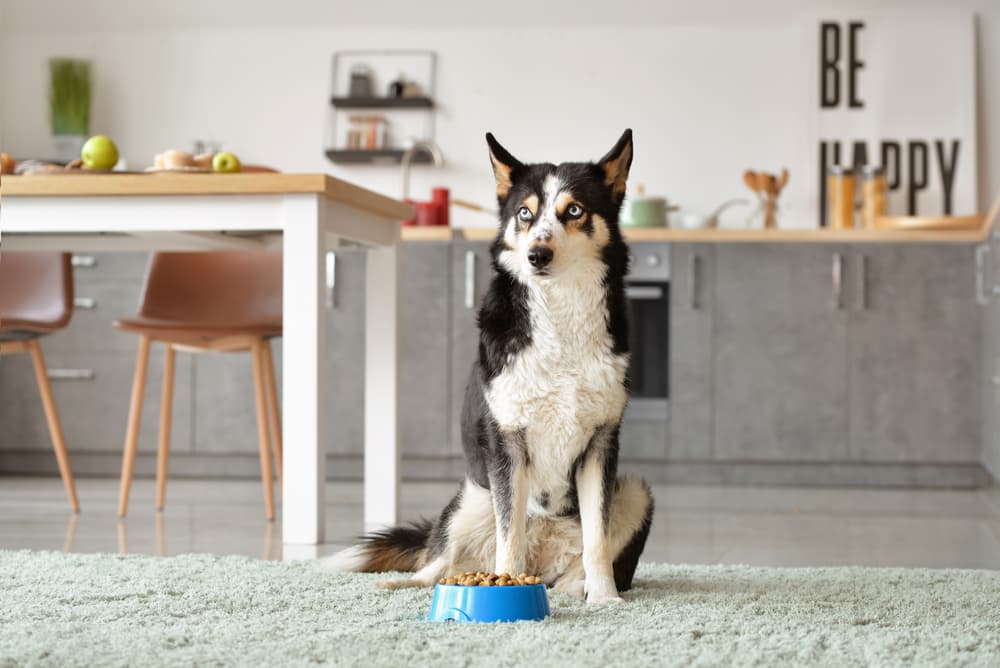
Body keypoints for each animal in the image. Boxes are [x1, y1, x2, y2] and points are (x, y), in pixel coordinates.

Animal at [324, 129, 656, 604]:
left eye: (574, 210)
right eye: (524, 213)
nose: (537, 254)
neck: (559, 317)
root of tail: (544, 557)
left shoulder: (600, 446)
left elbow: (597, 540)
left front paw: (605, 599)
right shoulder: (508, 445)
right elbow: (509, 538)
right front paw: (506, 588)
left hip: (635, 492)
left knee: (582, 559)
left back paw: (577, 587)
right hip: (470, 500)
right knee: (438, 563)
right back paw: (402, 583)